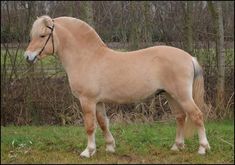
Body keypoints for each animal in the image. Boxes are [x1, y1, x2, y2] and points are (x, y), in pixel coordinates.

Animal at [24, 15, 210, 157]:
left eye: (42, 36)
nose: (27, 56)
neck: (87, 57)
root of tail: (189, 57)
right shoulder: (98, 102)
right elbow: (103, 123)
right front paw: (110, 147)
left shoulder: (87, 100)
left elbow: (90, 126)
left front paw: (88, 151)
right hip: (170, 95)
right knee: (180, 117)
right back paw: (176, 146)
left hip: (182, 95)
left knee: (197, 115)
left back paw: (202, 148)